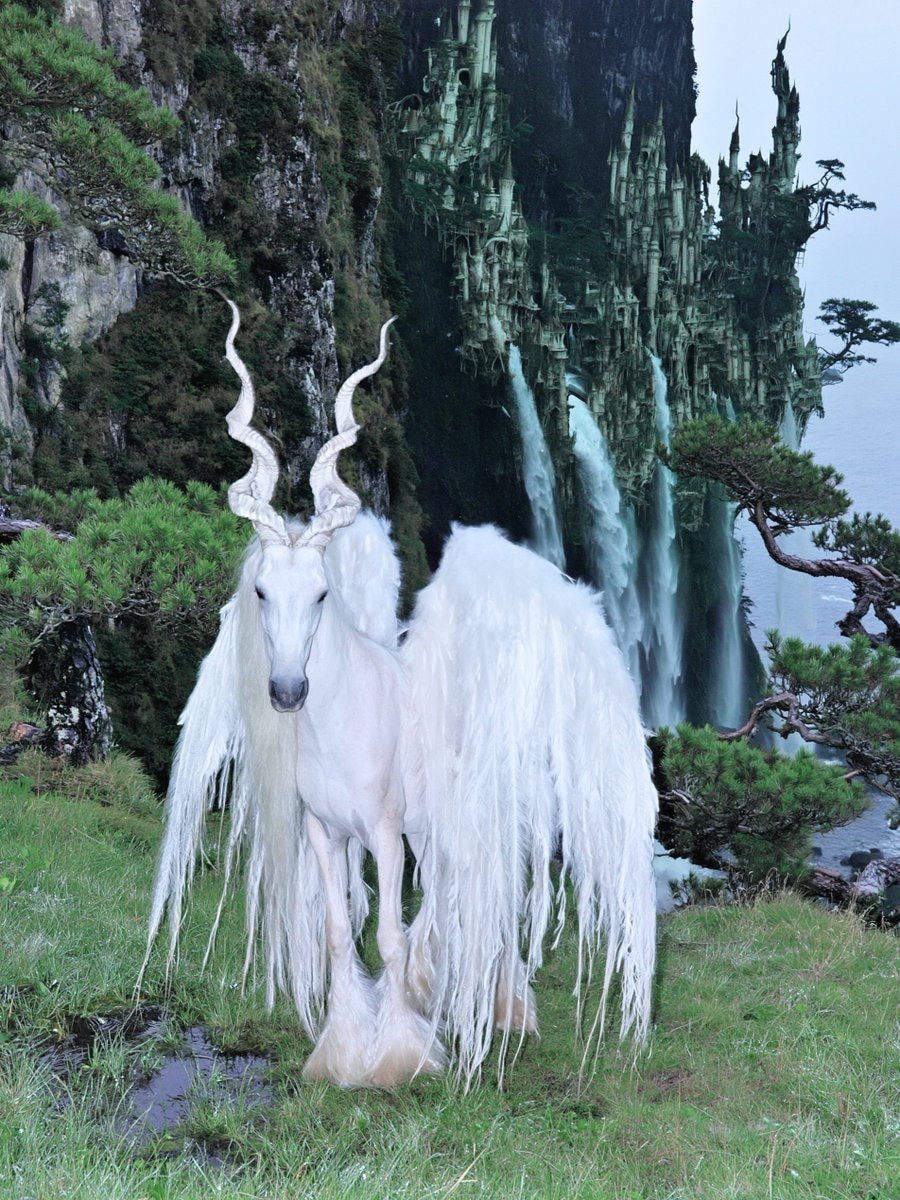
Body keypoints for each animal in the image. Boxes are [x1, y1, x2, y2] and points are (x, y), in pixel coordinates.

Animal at [143, 301, 659, 1088]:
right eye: (260, 591)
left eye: (322, 593)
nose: (286, 691)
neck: (342, 723)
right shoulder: (325, 832)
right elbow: (336, 931)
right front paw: (340, 1049)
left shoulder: (384, 834)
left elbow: (385, 933)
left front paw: (394, 1059)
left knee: (486, 897)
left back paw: (500, 1005)